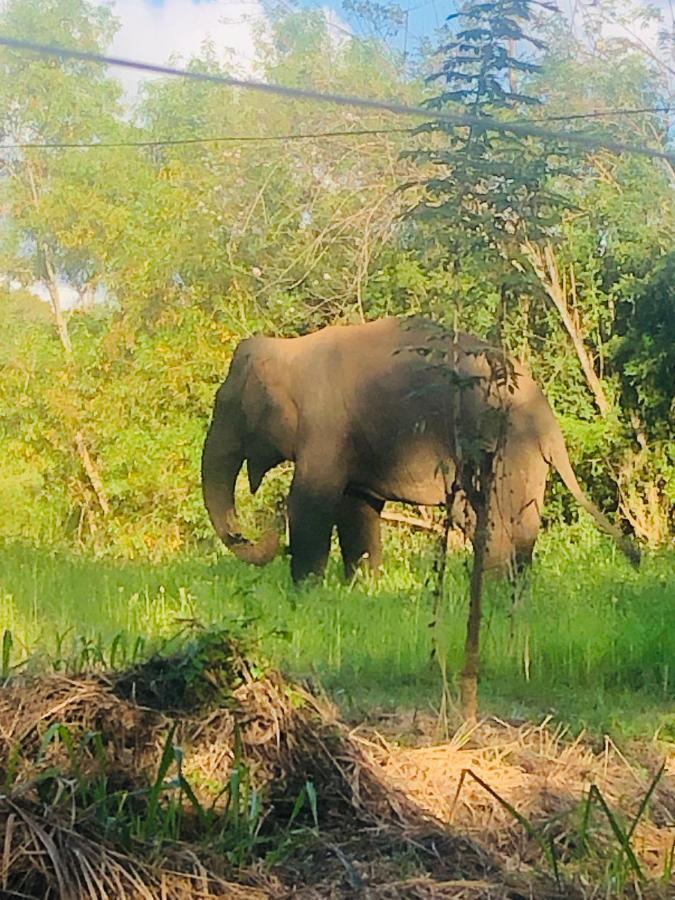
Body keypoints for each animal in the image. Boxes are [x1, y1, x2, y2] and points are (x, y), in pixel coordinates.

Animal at [201, 316, 640, 584]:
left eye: (226, 407)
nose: (268, 538)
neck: (290, 351)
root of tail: (548, 419)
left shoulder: (325, 426)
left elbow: (312, 499)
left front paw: (305, 591)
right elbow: (357, 506)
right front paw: (362, 586)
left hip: (501, 444)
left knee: (489, 517)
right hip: (524, 457)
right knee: (514, 523)